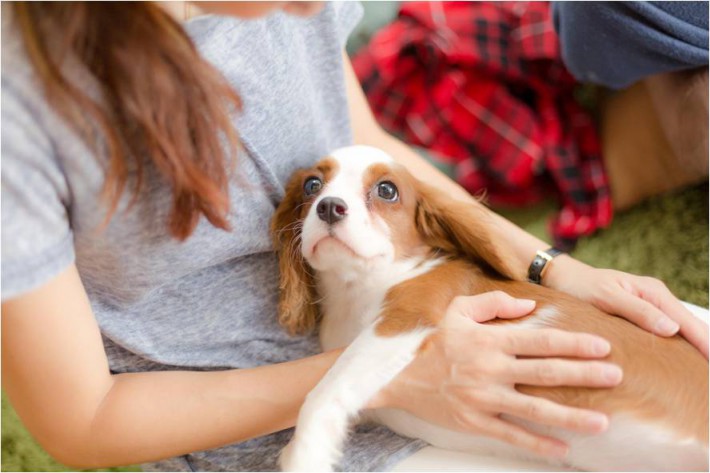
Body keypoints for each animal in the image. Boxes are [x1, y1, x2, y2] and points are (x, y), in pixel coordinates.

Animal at [270, 146, 708, 470]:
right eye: (312, 184)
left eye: (387, 190)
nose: (329, 206)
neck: (357, 287)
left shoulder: (405, 319)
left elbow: (326, 389)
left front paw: (304, 454)